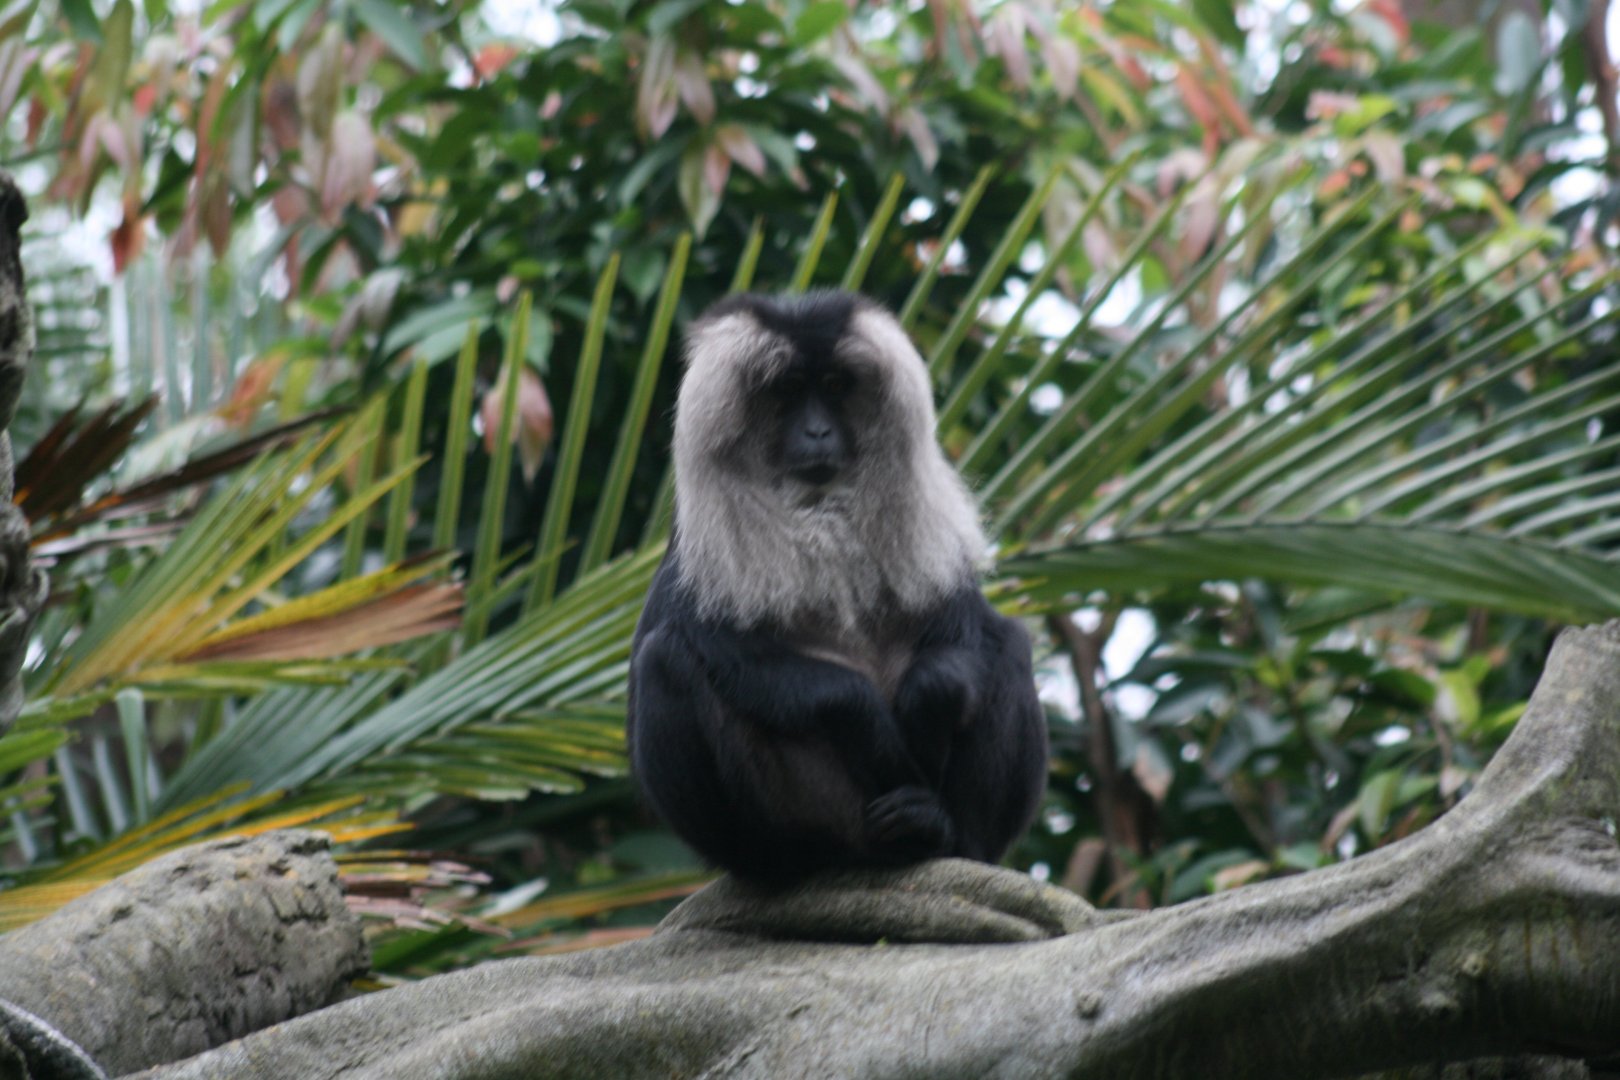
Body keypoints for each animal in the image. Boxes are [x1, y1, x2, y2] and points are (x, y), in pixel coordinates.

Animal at [626, 290, 1048, 885]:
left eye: (833, 385)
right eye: (786, 390)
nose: (818, 432)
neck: (822, 513)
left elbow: (964, 636)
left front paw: (931, 698)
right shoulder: (697, 558)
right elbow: (729, 653)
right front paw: (872, 727)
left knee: (1008, 643)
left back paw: (941, 832)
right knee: (664, 659)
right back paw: (787, 861)